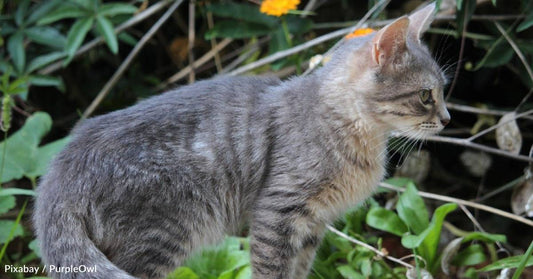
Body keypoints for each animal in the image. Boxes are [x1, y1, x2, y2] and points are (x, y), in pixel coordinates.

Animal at [34, 2, 448, 279]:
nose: (447, 119)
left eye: (444, 90)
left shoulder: (313, 224)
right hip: (162, 234)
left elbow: (298, 270)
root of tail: (61, 168)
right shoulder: (277, 212)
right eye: (426, 95)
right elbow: (270, 270)